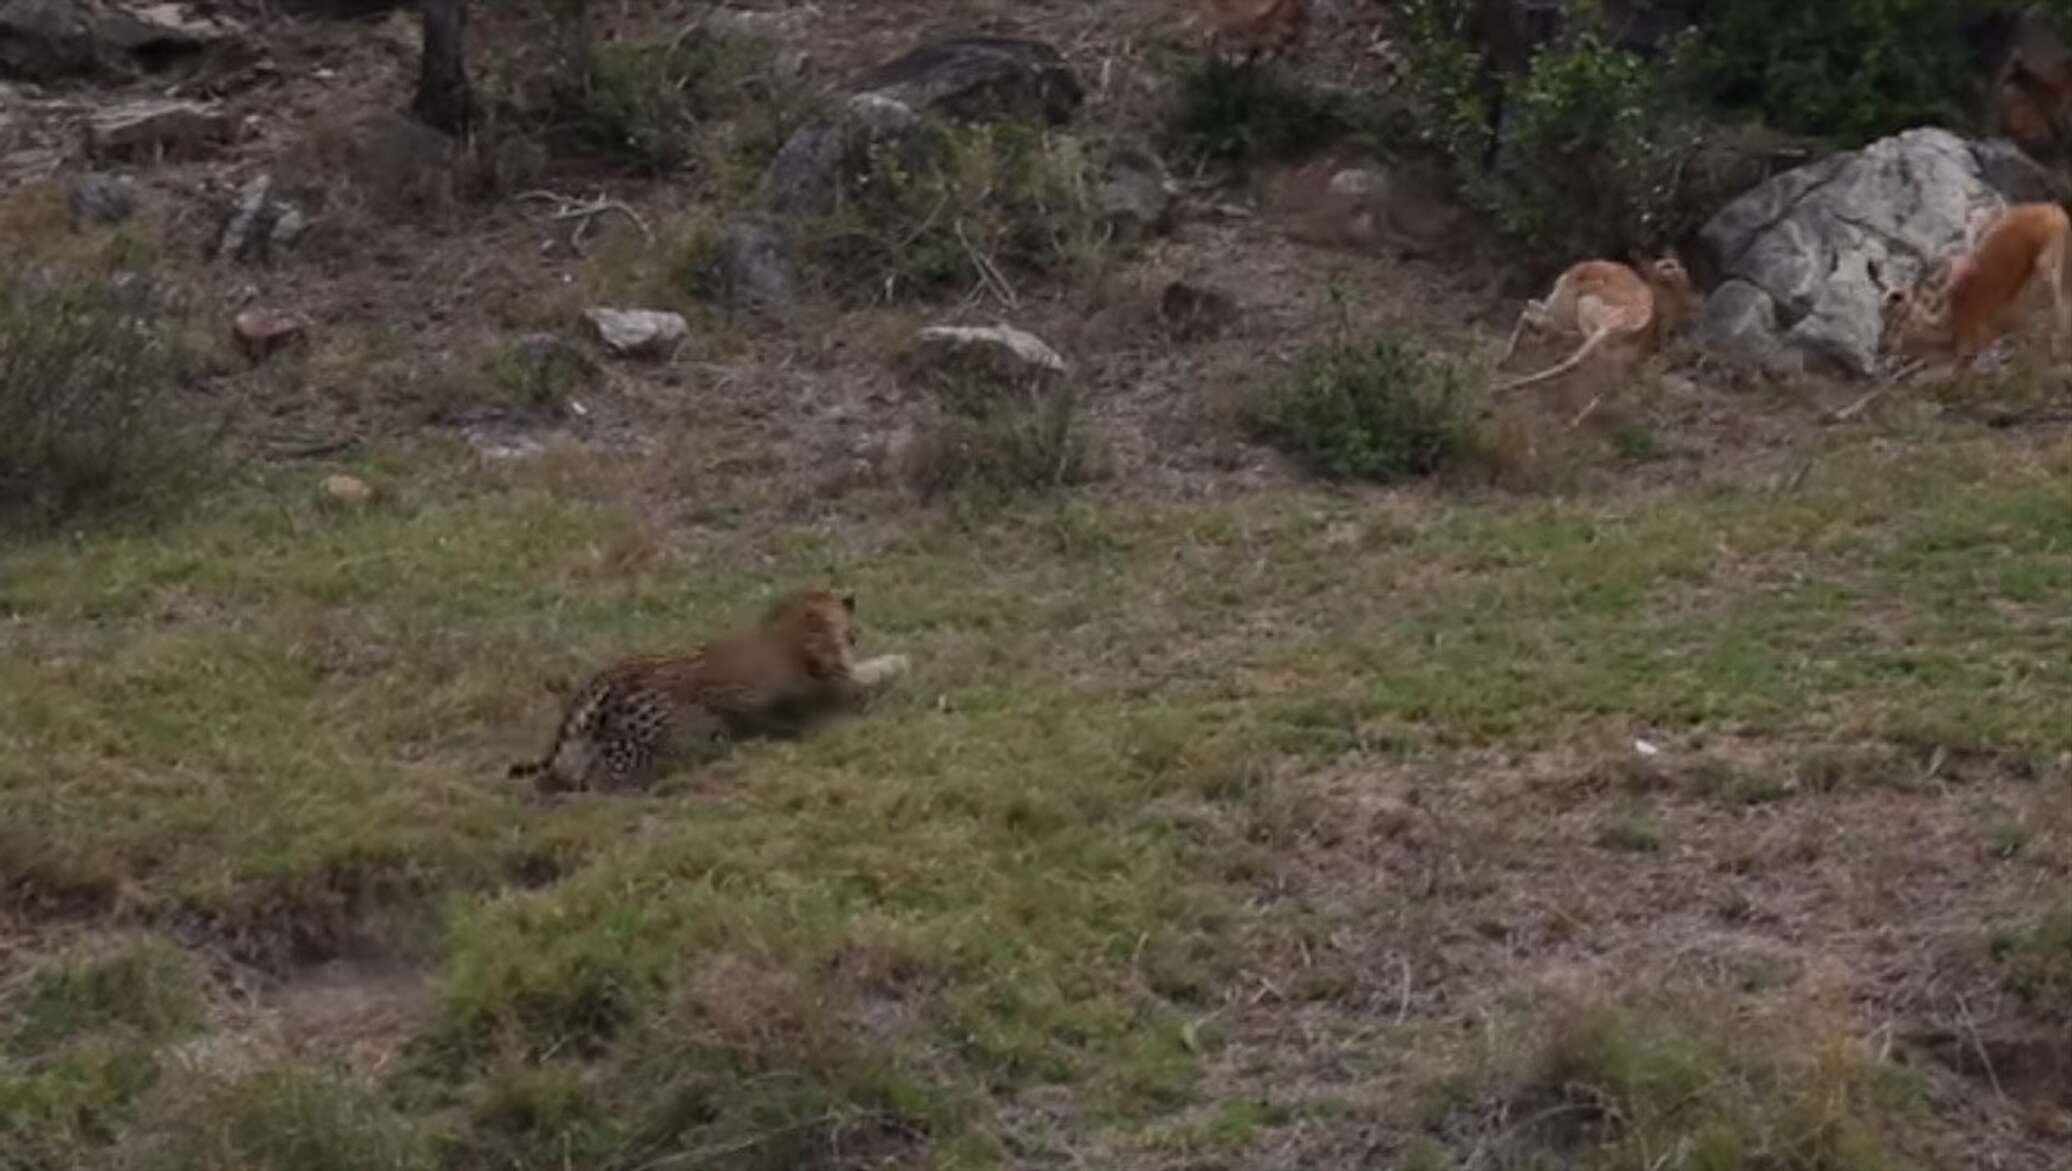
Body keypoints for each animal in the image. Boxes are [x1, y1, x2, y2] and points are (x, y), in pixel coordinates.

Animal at [507, 584, 907, 795]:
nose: (854, 632)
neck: (793, 627)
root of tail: (607, 676)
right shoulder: (840, 688)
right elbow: (872, 673)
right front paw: (898, 660)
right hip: (646, 747)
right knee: (603, 781)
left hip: (583, 751)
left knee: (560, 777)